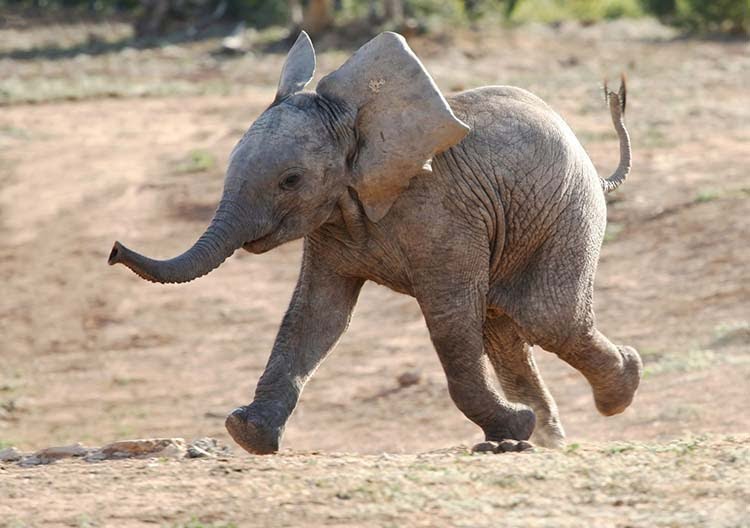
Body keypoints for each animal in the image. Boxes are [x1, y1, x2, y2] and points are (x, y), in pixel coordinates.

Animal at [108, 31, 643, 454]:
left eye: (290, 180)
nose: (113, 251)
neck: (356, 124)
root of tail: (595, 168)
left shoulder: (443, 215)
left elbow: (449, 320)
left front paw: (515, 426)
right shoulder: (331, 223)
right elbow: (316, 315)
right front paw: (247, 434)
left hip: (568, 212)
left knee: (546, 317)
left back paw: (618, 389)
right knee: (506, 329)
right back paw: (546, 438)